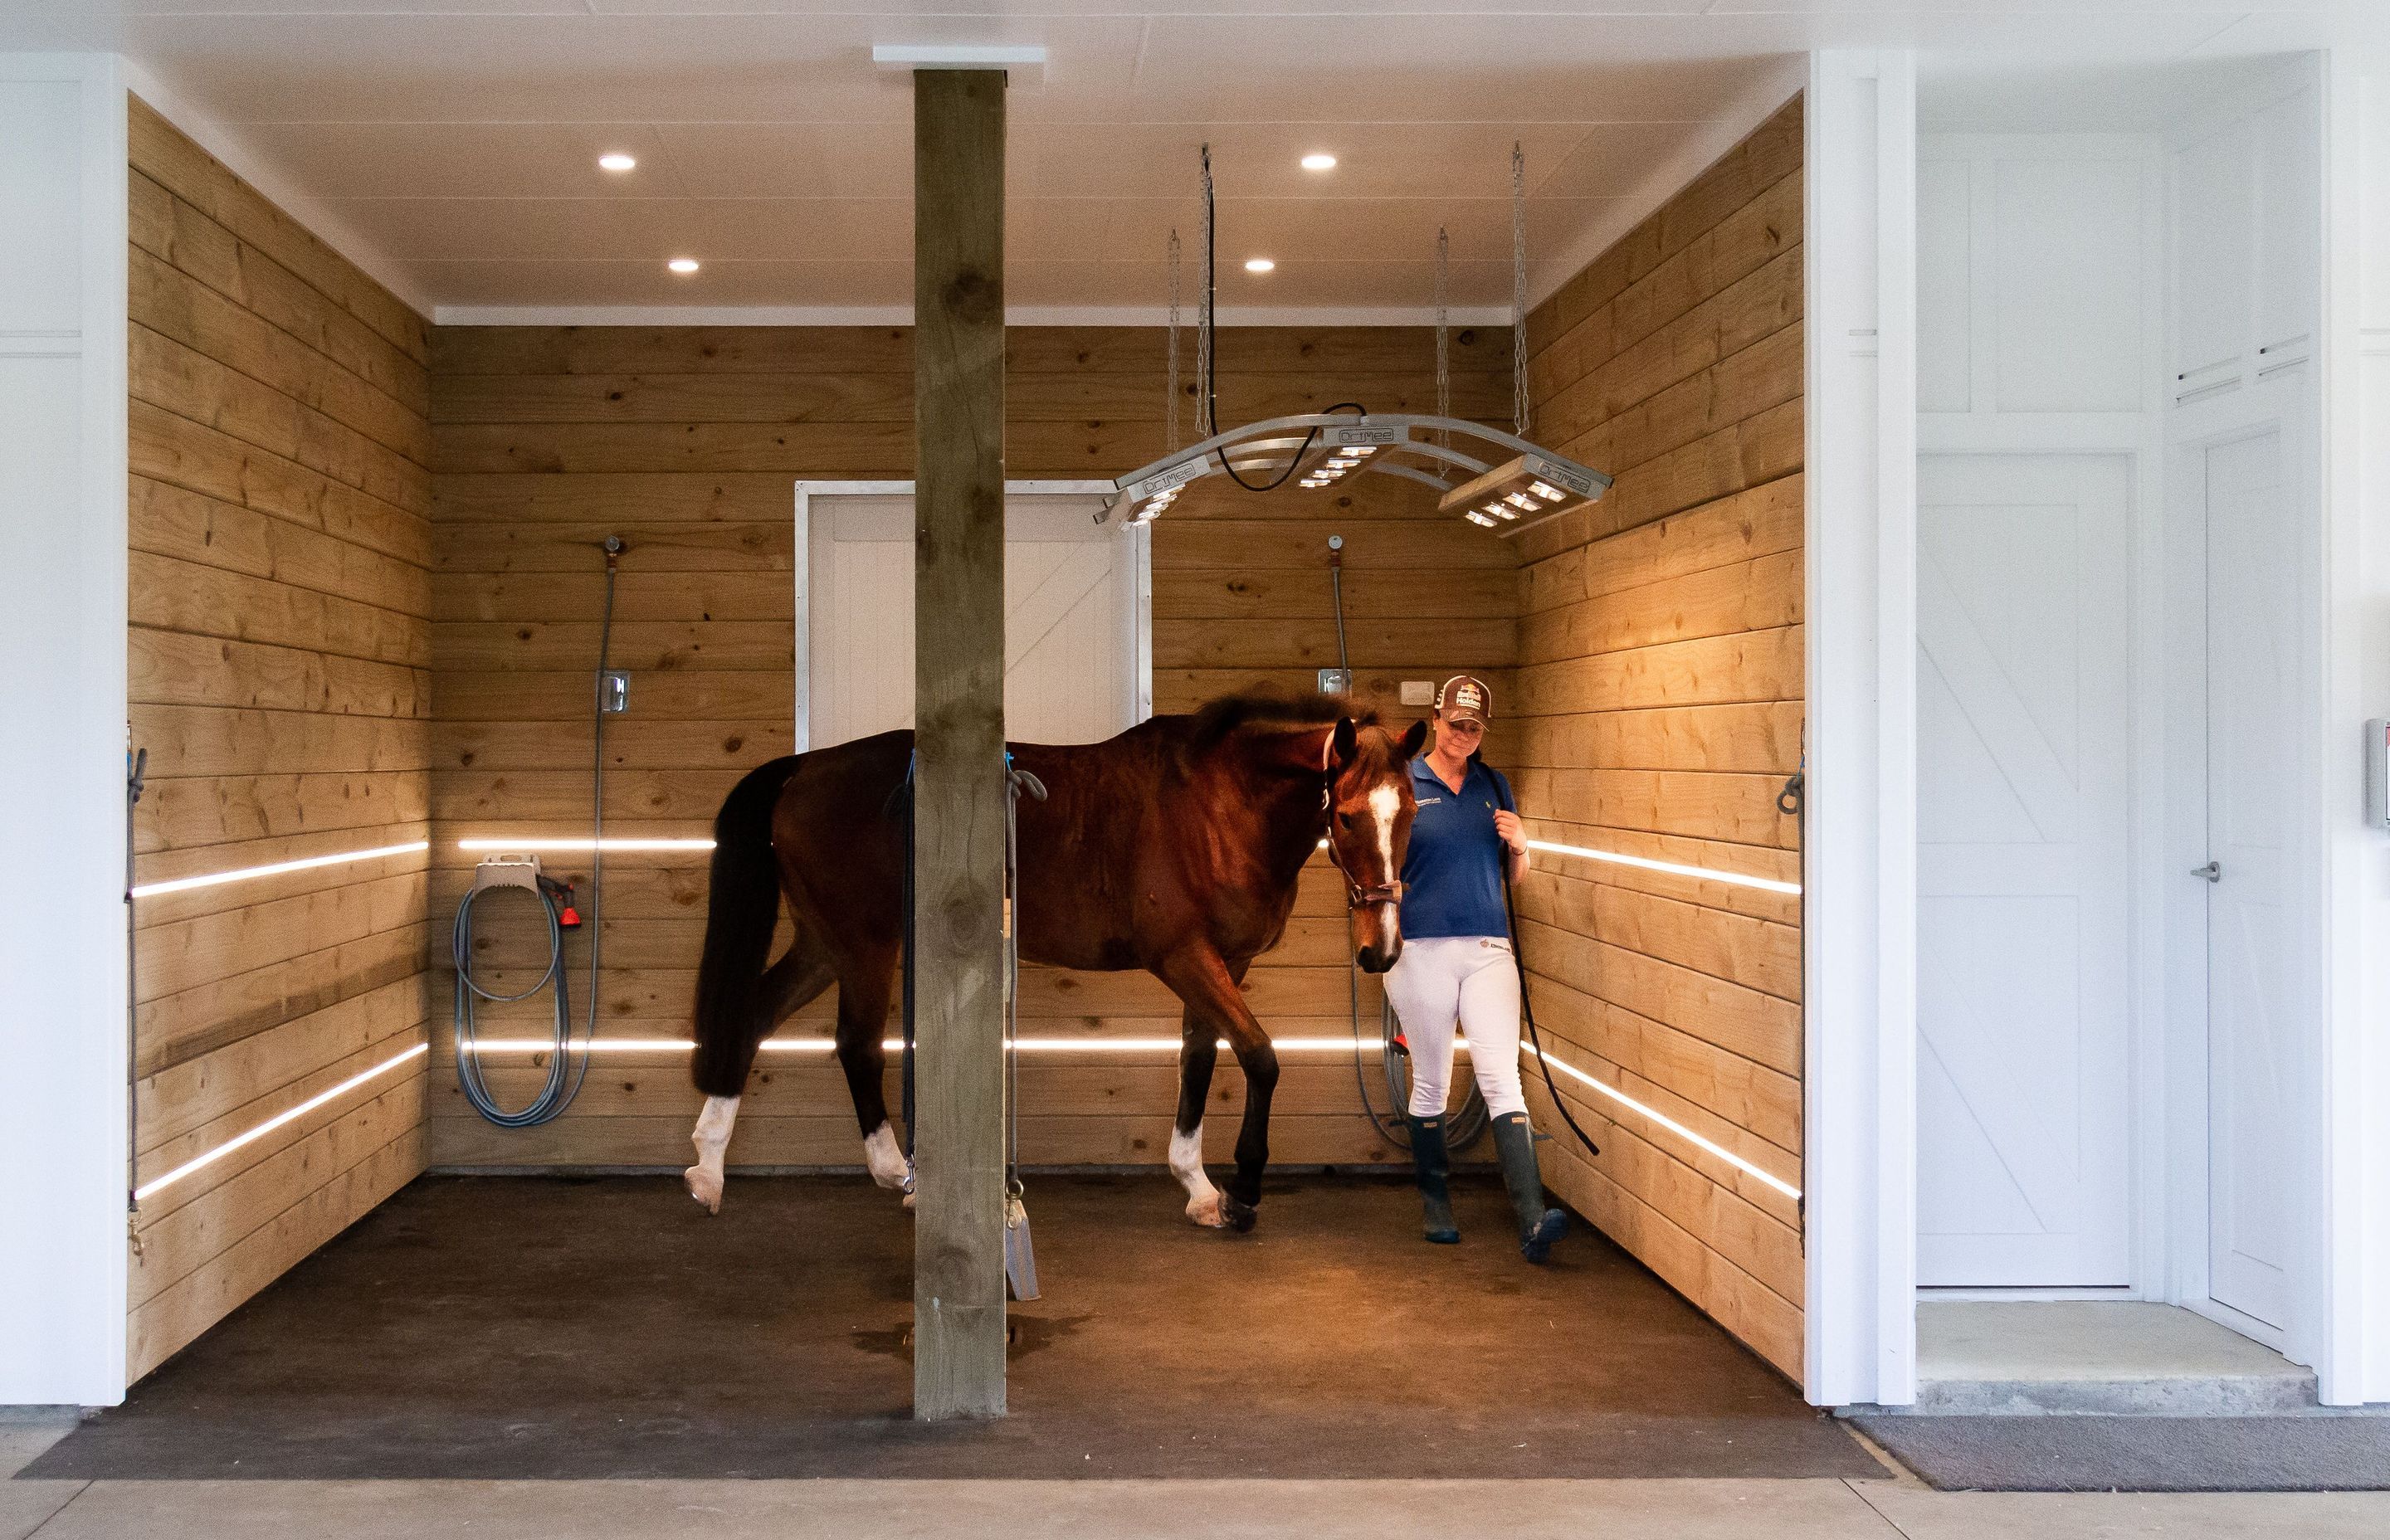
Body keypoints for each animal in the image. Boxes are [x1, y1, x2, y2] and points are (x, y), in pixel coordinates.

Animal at [678, 693, 1414, 1234]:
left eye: (1410, 812)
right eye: (1349, 816)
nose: (1381, 950)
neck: (1219, 804)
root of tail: (803, 768)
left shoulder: (1221, 964)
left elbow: (1200, 1062)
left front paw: (1199, 1189)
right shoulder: (1184, 957)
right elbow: (1260, 1056)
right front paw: (1243, 1193)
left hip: (822, 944)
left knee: (751, 1017)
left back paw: (709, 1171)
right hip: (865, 945)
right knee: (856, 1044)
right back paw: (900, 1175)